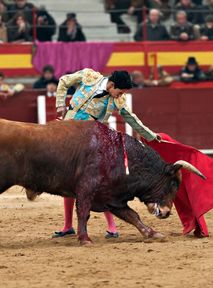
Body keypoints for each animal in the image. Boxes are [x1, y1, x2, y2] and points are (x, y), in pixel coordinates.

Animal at [0, 118, 205, 244]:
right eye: (173, 184)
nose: (166, 213)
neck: (116, 152)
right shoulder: (86, 188)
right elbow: (83, 213)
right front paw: (85, 239)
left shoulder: (111, 196)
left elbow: (132, 216)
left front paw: (152, 233)